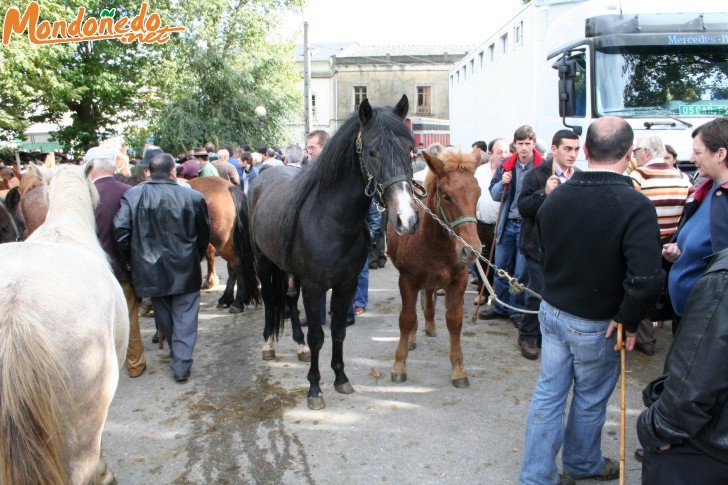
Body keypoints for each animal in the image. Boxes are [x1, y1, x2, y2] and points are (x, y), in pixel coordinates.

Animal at [186, 177, 260, 310]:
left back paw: (238, 301)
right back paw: (226, 299)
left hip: (222, 243)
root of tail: (229, 188)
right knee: (232, 268)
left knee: (237, 265)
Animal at [243, 94, 418, 408]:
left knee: (289, 299)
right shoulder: (314, 287)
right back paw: (269, 344)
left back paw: (298, 346)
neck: (333, 221)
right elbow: (317, 336)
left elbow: (338, 331)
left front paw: (340, 378)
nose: (406, 219)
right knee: (271, 299)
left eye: (410, 150)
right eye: (372, 152)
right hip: (263, 261)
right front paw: (315, 389)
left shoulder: (346, 285)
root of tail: (262, 176)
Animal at [386, 149, 484, 388]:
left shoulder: (458, 280)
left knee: (429, 295)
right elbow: (407, 318)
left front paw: (458, 369)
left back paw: (429, 325)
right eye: (446, 196)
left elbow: (454, 320)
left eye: (478, 193)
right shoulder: (407, 280)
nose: (471, 251)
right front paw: (399, 365)